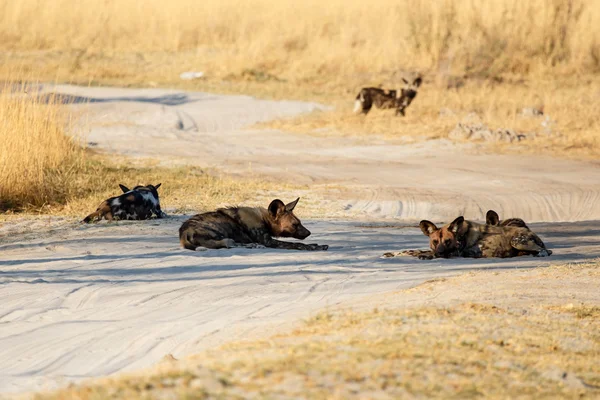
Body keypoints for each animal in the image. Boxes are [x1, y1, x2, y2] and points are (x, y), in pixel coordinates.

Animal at [178, 198, 328, 252]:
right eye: (295, 224)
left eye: (300, 223)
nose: (309, 233)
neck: (264, 219)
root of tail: (183, 231)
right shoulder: (269, 241)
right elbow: (298, 244)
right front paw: (316, 247)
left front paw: (315, 244)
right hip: (219, 231)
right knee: (227, 243)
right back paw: (253, 245)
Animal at [382, 216, 552, 260]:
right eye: (435, 242)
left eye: (448, 241)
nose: (440, 253)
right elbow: (412, 250)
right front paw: (391, 254)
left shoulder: (459, 252)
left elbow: (422, 253)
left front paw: (426, 256)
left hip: (516, 241)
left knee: (545, 250)